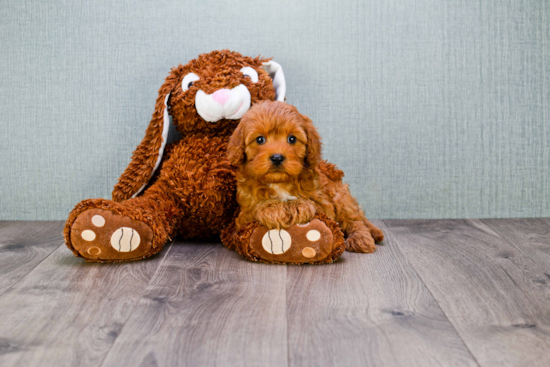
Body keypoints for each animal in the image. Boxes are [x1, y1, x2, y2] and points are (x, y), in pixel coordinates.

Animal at [226, 100, 386, 253]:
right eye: (260, 139)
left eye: (292, 139)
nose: (277, 158)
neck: (280, 182)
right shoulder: (243, 215)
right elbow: (257, 206)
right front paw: (273, 208)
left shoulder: (325, 205)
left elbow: (313, 203)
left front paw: (298, 206)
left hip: (341, 197)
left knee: (355, 220)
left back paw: (361, 239)